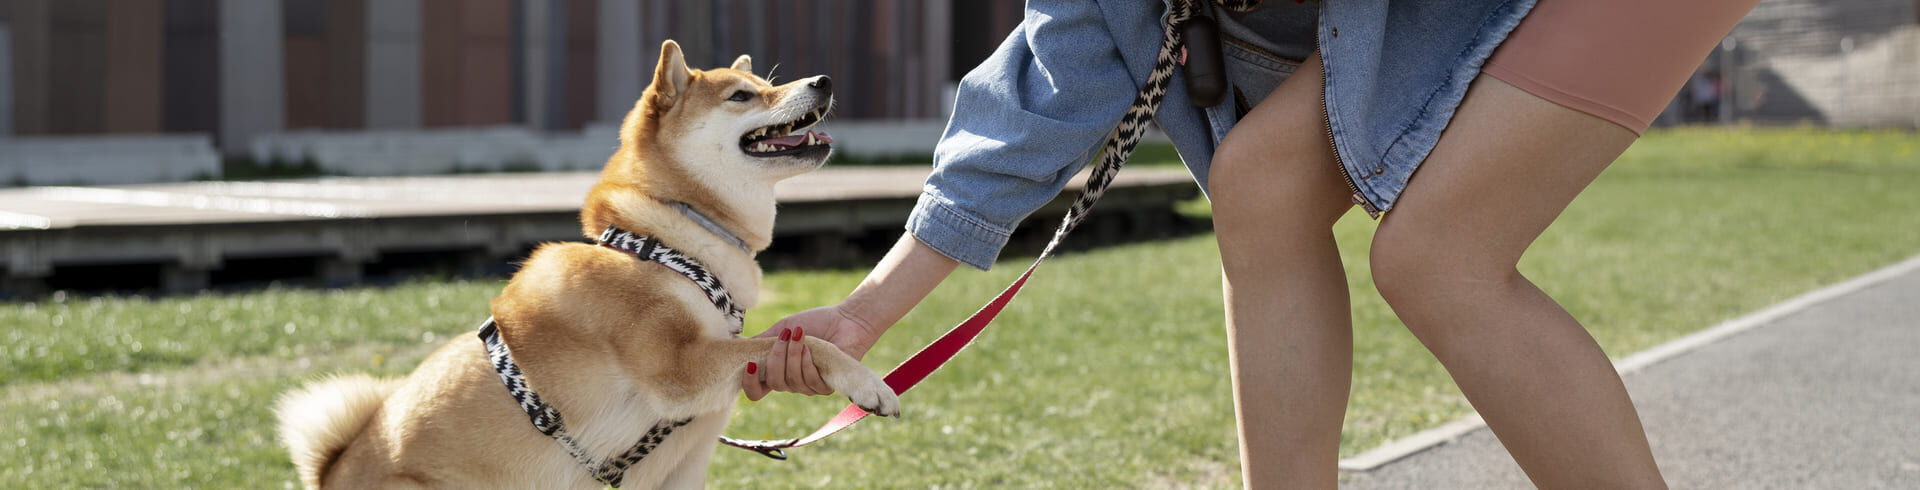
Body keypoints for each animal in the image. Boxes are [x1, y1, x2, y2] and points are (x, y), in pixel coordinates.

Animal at [276, 40, 898, 488]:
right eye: (742, 96)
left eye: (769, 86)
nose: (823, 81)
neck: (666, 242)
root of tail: (330, 474)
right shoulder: (678, 369)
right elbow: (808, 343)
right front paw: (868, 383)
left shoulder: (686, 459)